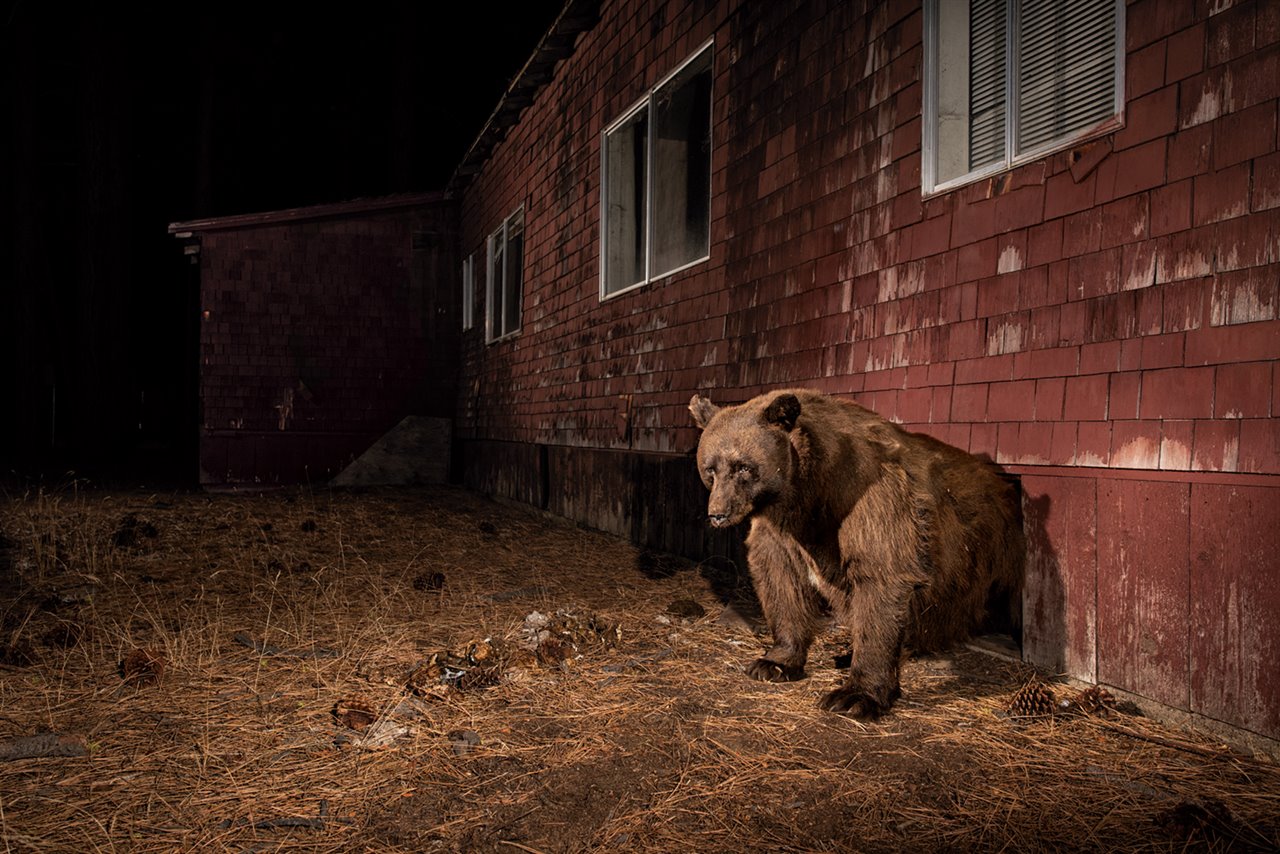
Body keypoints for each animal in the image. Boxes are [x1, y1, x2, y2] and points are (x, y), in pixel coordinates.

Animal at [686, 391, 1024, 717]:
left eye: (743, 467)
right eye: (710, 468)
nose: (718, 513)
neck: (808, 495)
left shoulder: (868, 499)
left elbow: (882, 577)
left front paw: (855, 696)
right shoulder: (781, 530)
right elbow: (781, 579)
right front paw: (774, 663)